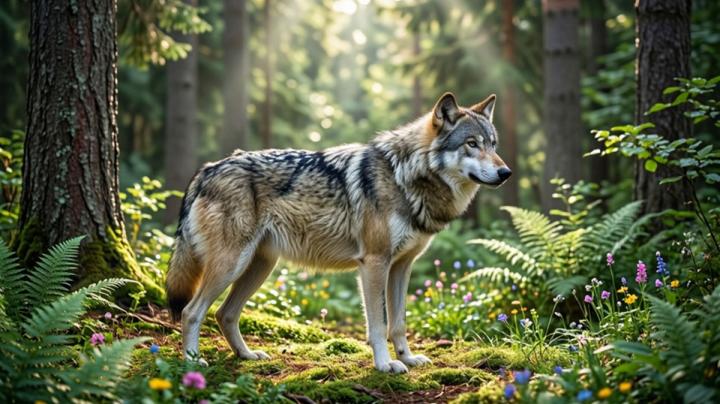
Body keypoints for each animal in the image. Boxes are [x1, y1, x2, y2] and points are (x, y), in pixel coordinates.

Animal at [166, 92, 511, 373]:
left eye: (493, 144)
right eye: (472, 144)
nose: (506, 172)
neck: (405, 176)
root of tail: (207, 168)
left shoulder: (401, 266)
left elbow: (399, 323)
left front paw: (408, 358)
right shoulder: (374, 263)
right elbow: (378, 324)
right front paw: (386, 364)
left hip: (260, 267)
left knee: (224, 314)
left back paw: (247, 356)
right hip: (232, 265)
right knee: (191, 312)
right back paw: (193, 362)